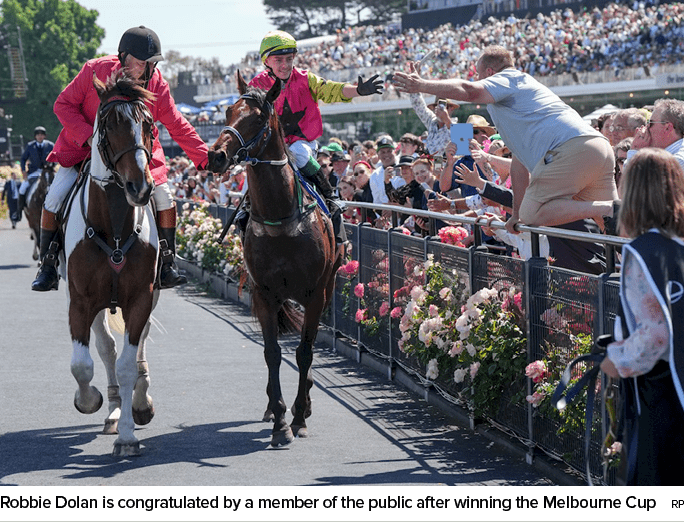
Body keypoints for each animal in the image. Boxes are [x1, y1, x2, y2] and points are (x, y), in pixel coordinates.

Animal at [59, 72, 159, 454]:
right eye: (109, 124)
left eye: (148, 124)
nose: (140, 186)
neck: (114, 227)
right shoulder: (80, 301)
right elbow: (82, 364)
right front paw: (89, 400)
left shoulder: (142, 297)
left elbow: (130, 363)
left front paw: (129, 435)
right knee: (105, 348)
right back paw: (114, 408)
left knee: (137, 345)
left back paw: (138, 403)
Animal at [204, 69, 340, 446]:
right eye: (227, 112)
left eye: (258, 119)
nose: (216, 156)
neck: (281, 220)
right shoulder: (264, 292)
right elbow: (272, 352)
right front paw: (280, 419)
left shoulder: (315, 293)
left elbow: (305, 352)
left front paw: (299, 416)